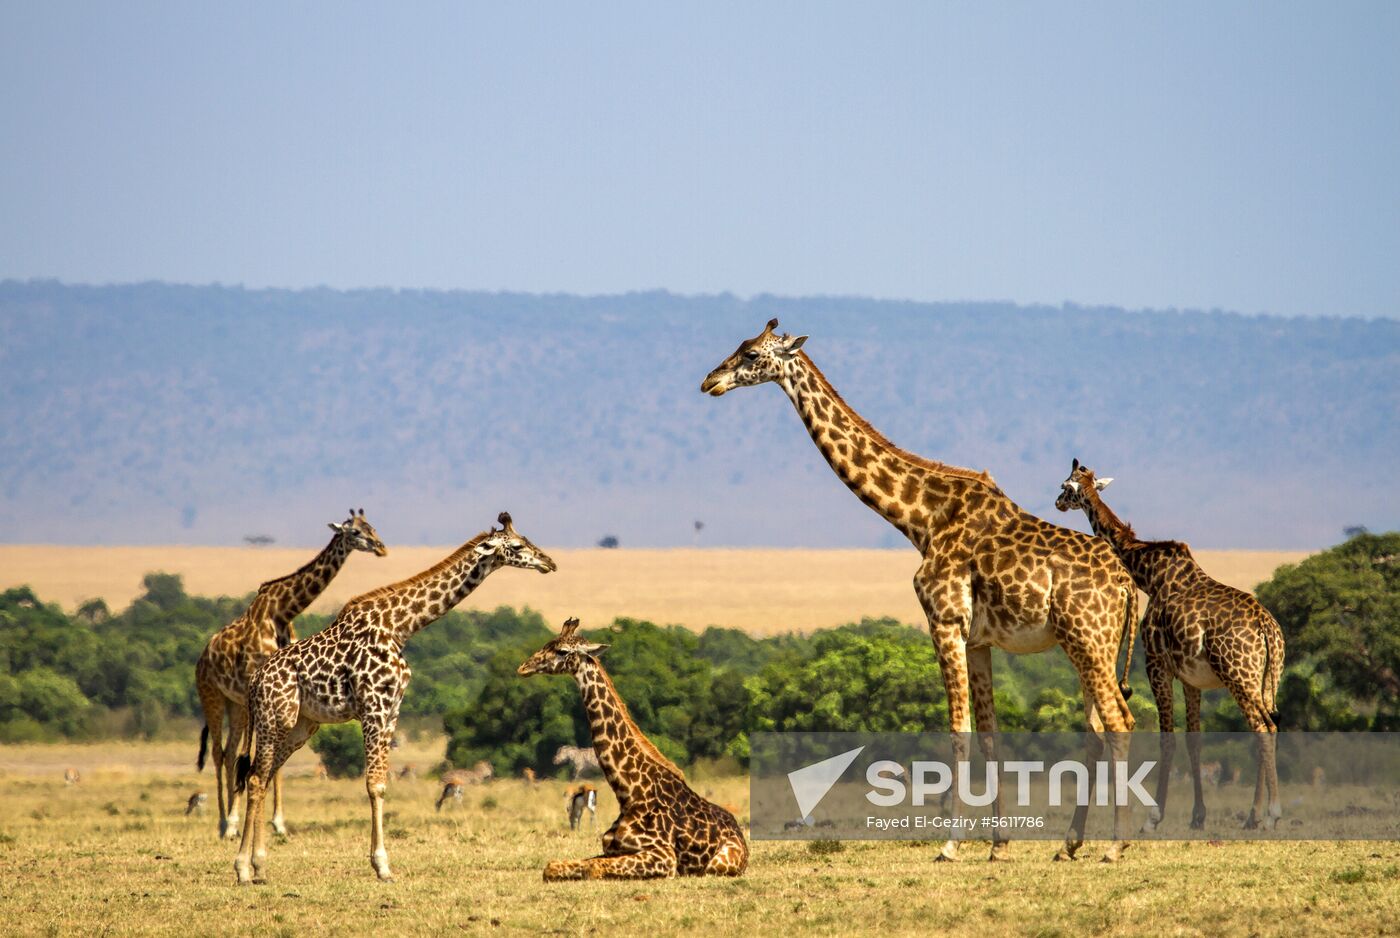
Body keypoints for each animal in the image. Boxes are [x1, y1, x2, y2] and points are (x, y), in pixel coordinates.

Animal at [194, 509, 386, 840]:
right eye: (355, 532)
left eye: (371, 526)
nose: (380, 547)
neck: (282, 611)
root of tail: (203, 657)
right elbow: (256, 755)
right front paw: (256, 821)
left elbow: (272, 761)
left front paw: (278, 822)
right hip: (212, 695)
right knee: (219, 753)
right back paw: (224, 823)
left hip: (235, 703)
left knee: (230, 753)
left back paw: (233, 818)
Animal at [232, 509, 554, 884]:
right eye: (517, 546)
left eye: (527, 540)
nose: (549, 562)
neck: (400, 627)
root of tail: (255, 680)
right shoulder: (374, 706)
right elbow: (374, 785)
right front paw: (382, 866)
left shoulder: (392, 709)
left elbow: (383, 784)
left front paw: (382, 863)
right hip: (275, 718)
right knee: (256, 779)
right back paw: (243, 868)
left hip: (301, 726)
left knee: (264, 776)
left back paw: (260, 866)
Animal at [518, 616, 756, 884]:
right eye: (547, 644)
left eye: (562, 651)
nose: (524, 667)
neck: (629, 792)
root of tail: (741, 838)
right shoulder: (610, 848)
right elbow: (552, 867)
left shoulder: (664, 856)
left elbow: (593, 869)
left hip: (717, 865)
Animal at [705, 319, 1142, 862]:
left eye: (751, 354)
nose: (710, 381)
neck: (921, 519)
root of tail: (1125, 583)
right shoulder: (977, 640)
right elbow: (990, 736)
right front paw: (998, 845)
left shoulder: (944, 621)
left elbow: (958, 732)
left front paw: (950, 845)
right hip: (1090, 645)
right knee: (1103, 729)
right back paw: (1072, 844)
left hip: (1088, 638)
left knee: (1119, 723)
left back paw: (1115, 846)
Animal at [1052, 459, 1282, 834]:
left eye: (1066, 485)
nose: (1057, 503)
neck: (1148, 574)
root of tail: (1268, 630)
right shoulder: (1191, 677)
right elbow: (1193, 740)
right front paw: (1198, 816)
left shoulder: (1156, 664)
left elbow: (1167, 739)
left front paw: (1153, 818)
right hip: (1265, 679)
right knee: (1268, 726)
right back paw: (1253, 815)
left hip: (1239, 676)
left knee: (1263, 727)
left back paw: (1270, 813)